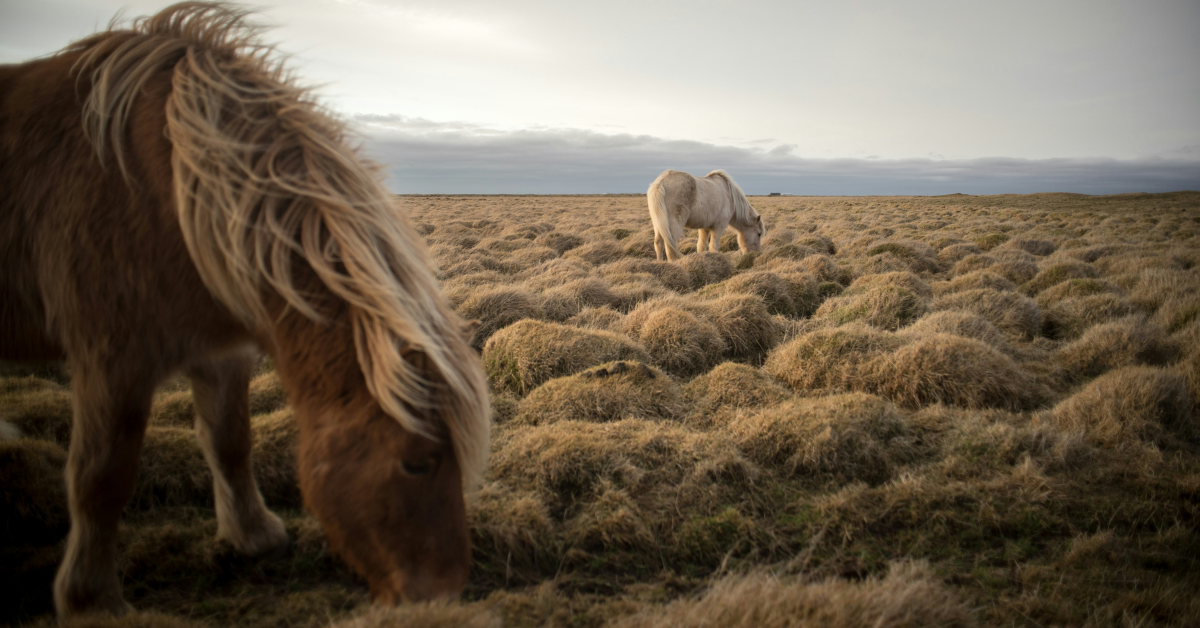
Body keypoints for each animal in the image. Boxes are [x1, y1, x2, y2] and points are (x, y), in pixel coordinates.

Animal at [0, 2, 490, 618]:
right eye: (418, 461)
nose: (442, 597)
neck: (170, 190)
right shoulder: (109, 357)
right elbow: (101, 477)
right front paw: (92, 602)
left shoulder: (222, 349)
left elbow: (230, 440)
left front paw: (254, 535)